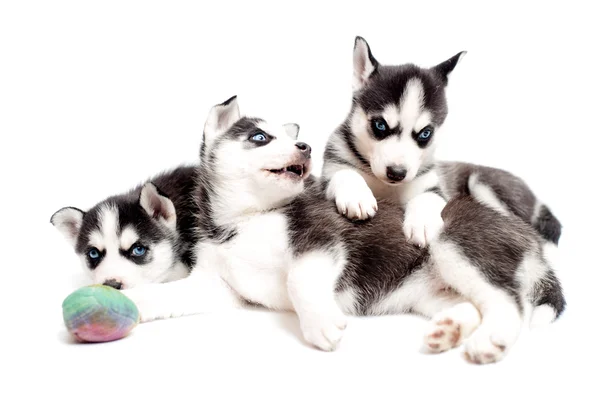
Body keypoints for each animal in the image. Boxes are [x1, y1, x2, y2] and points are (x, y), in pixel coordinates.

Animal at [123, 97, 568, 366]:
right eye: (260, 137)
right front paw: (128, 300)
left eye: (289, 137)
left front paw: (321, 324)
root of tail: (529, 237)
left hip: (454, 244)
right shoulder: (218, 284)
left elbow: (300, 280)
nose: (304, 146)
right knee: (474, 304)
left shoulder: (321, 240)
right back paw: (450, 330)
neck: (243, 221)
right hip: (428, 290)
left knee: (509, 302)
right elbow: (165, 293)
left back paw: (490, 340)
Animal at [324, 38, 564, 250]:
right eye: (380, 125)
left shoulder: (433, 186)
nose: (397, 173)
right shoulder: (330, 170)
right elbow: (344, 173)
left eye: (425, 133)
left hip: (484, 183)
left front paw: (422, 224)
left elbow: (427, 198)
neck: (387, 187)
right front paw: (357, 196)